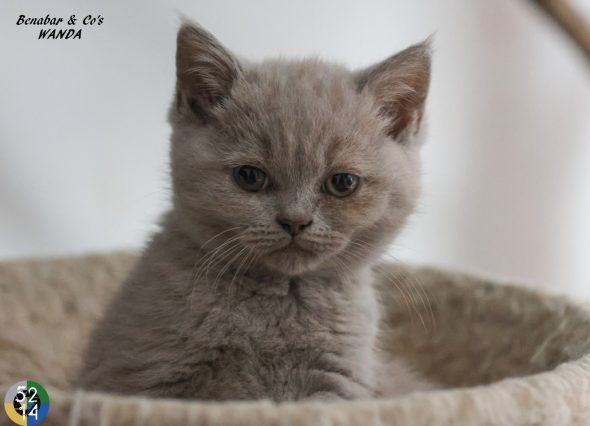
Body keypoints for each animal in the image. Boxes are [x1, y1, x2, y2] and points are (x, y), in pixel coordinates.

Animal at [76, 22, 432, 402]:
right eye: (250, 177)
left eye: (343, 183)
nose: (295, 220)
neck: (280, 300)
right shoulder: (141, 378)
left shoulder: (337, 384)